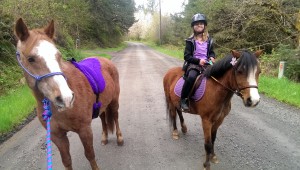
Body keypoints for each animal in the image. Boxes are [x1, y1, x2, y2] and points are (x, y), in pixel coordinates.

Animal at [14, 17, 123, 169]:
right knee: (103, 119)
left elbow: (90, 155)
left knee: (116, 117)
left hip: (114, 102)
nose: (65, 98)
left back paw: (119, 139)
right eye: (31, 59)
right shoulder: (57, 136)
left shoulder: (84, 130)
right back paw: (104, 138)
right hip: (101, 105)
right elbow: (66, 161)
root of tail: (105, 60)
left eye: (58, 55)